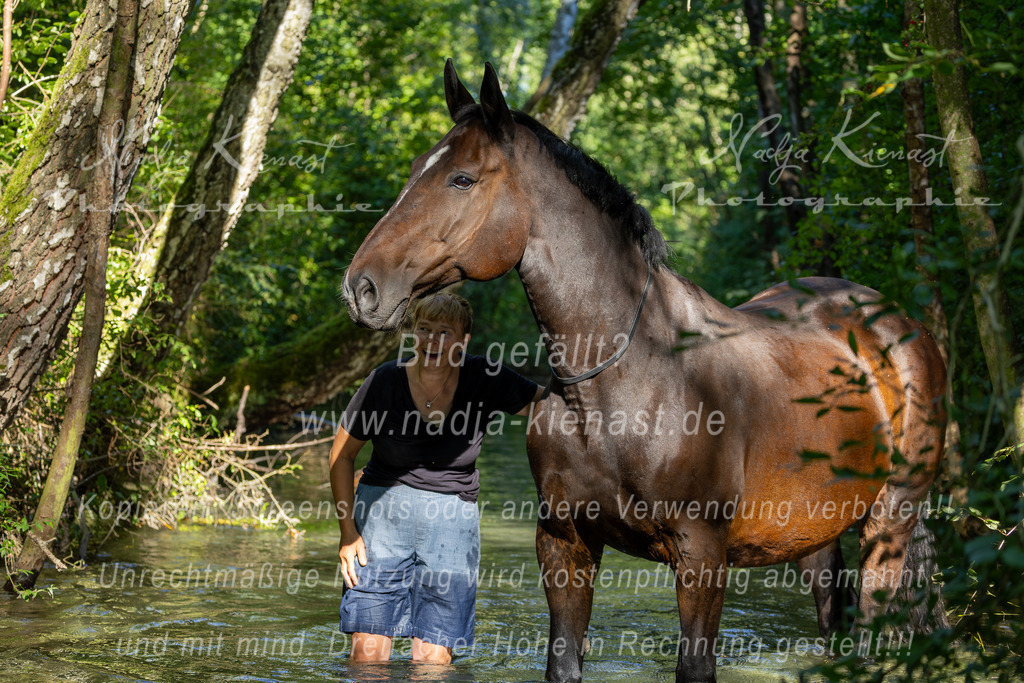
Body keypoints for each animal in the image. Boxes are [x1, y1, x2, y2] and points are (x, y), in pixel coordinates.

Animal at [341, 61, 946, 682]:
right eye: (417, 169)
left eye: (462, 179)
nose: (361, 287)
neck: (623, 384)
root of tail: (899, 325)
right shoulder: (564, 542)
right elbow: (563, 662)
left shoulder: (701, 555)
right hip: (813, 536)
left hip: (888, 524)